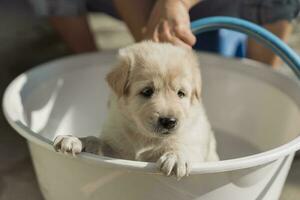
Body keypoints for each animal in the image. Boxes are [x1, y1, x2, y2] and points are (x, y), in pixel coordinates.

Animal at [54, 40, 218, 178]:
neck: (144, 136)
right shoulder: (116, 148)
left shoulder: (195, 142)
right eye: (147, 91)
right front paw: (75, 139)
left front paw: (176, 157)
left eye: (181, 93)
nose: (169, 121)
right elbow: (99, 142)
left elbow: (183, 146)